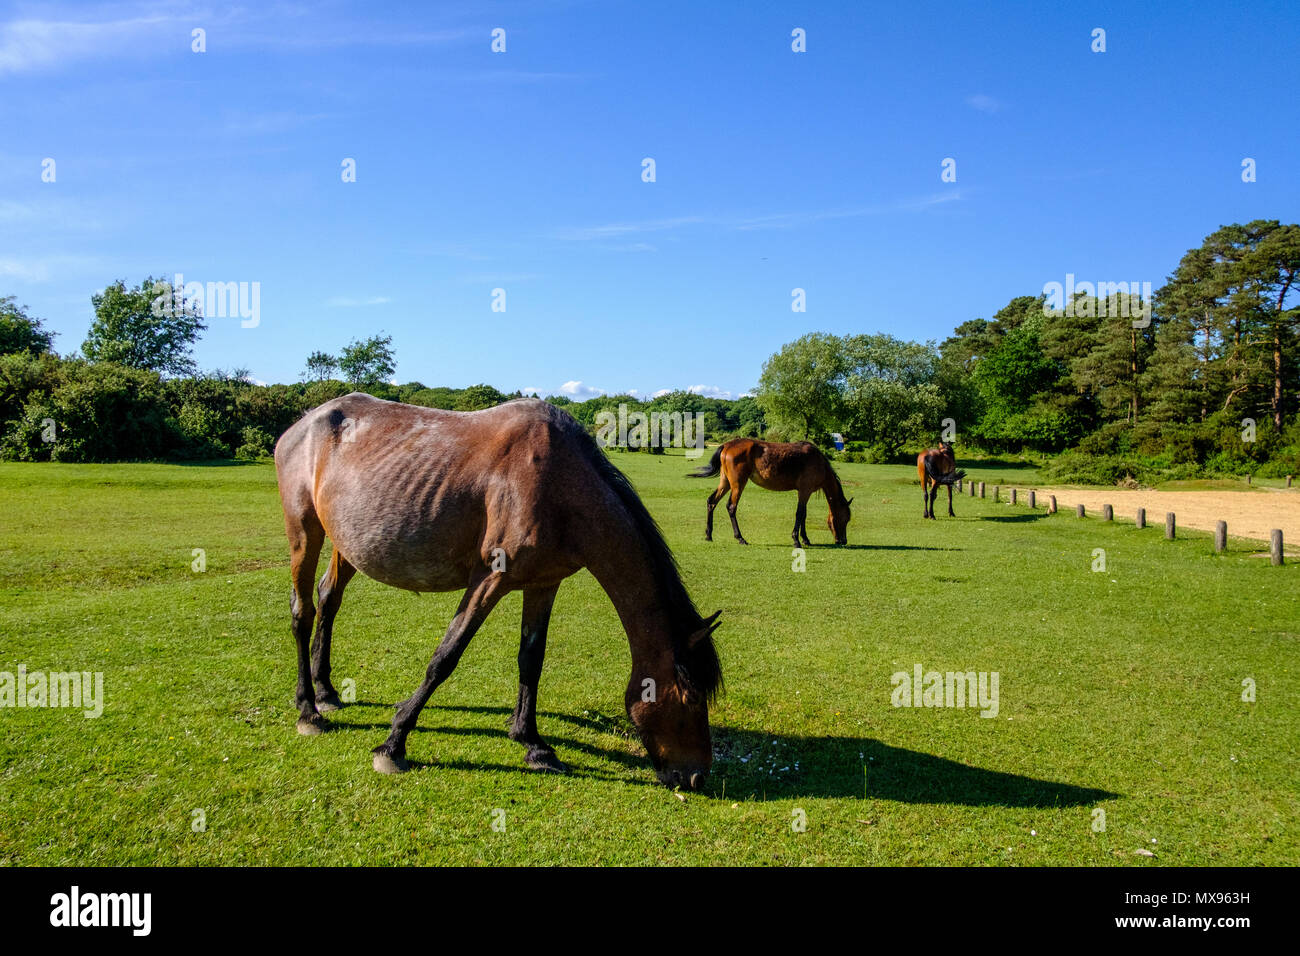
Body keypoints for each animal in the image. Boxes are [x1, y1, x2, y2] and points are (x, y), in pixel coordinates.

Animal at [274, 392, 722, 790]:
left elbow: (531, 660)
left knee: (328, 599)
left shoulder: (543, 584)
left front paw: (533, 743)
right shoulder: (489, 580)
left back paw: (327, 691)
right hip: (305, 531)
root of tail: (305, 422)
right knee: (302, 611)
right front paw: (394, 743)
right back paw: (308, 710)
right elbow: (445, 658)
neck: (561, 485)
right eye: (692, 697)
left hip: (348, 541)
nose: (697, 776)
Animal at [691, 439, 852, 546]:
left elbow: (804, 515)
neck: (819, 462)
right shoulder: (804, 491)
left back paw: (709, 535)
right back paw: (740, 538)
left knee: (712, 502)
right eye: (845, 519)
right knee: (731, 507)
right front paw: (796, 540)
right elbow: (800, 514)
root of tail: (727, 445)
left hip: (725, 483)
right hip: (737, 484)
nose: (843, 541)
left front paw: (805, 539)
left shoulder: (805, 492)